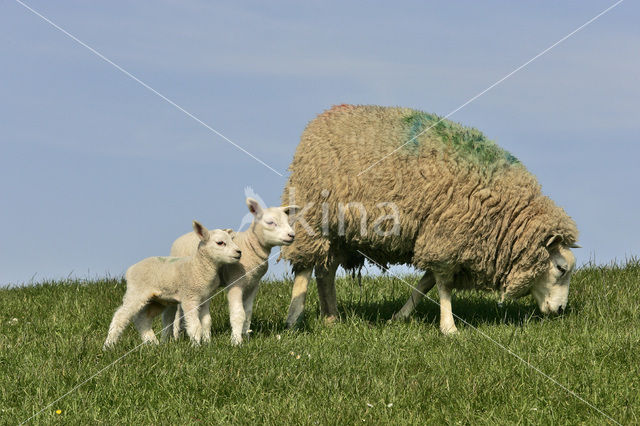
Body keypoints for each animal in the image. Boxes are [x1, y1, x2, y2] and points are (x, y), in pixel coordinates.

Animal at [104, 221, 241, 348]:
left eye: (232, 240)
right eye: (220, 243)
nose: (239, 252)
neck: (198, 267)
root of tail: (131, 269)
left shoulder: (205, 297)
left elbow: (206, 322)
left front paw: (207, 343)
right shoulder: (189, 297)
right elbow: (195, 324)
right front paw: (196, 346)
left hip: (157, 300)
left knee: (142, 318)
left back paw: (153, 342)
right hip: (136, 292)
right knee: (120, 316)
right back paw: (109, 345)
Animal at [169, 198, 302, 344]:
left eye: (288, 221)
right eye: (270, 222)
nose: (291, 235)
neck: (250, 246)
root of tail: (178, 240)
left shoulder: (253, 284)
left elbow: (248, 313)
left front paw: (247, 336)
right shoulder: (235, 282)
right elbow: (238, 313)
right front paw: (236, 341)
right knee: (177, 312)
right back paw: (175, 336)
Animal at [280, 105, 580, 334]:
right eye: (561, 268)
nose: (560, 310)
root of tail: (319, 120)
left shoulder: (441, 240)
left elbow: (426, 283)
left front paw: (400, 316)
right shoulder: (447, 235)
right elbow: (443, 286)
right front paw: (449, 328)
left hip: (339, 232)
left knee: (325, 271)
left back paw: (331, 318)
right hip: (314, 215)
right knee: (306, 268)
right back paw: (294, 318)